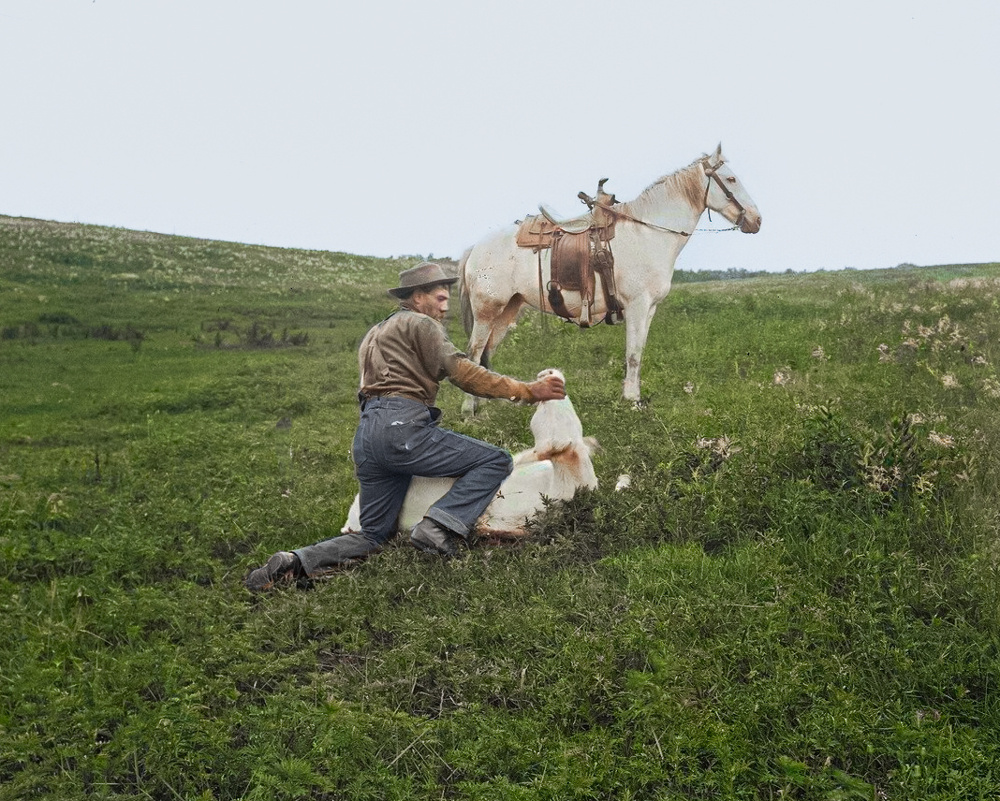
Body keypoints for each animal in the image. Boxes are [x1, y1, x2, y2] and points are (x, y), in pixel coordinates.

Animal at [458, 141, 756, 412]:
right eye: (731, 178)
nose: (756, 220)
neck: (648, 234)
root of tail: (476, 247)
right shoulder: (636, 305)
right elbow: (633, 354)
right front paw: (632, 401)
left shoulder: (649, 309)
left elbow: (639, 351)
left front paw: (634, 396)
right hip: (487, 310)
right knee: (474, 352)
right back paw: (470, 411)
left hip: (509, 309)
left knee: (487, 353)